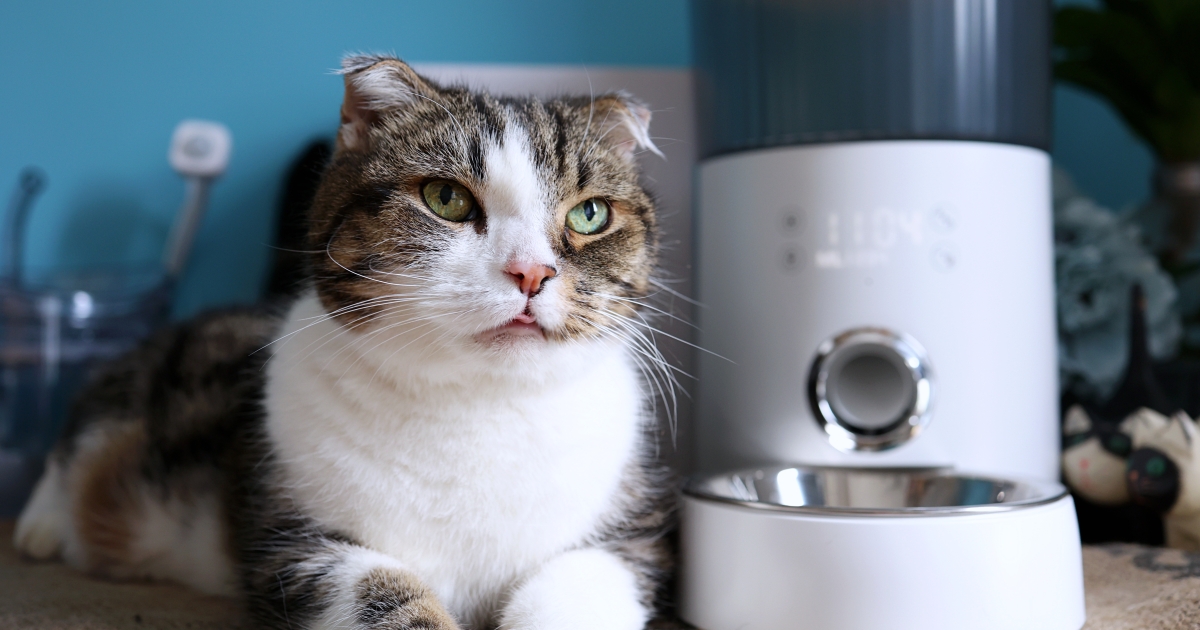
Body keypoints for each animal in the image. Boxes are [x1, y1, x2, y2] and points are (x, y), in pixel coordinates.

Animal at [11, 55, 676, 628]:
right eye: (446, 198)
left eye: (590, 214)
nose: (532, 273)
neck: (479, 406)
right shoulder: (301, 546)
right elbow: (387, 598)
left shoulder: (626, 542)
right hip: (150, 376)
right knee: (83, 429)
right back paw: (41, 527)